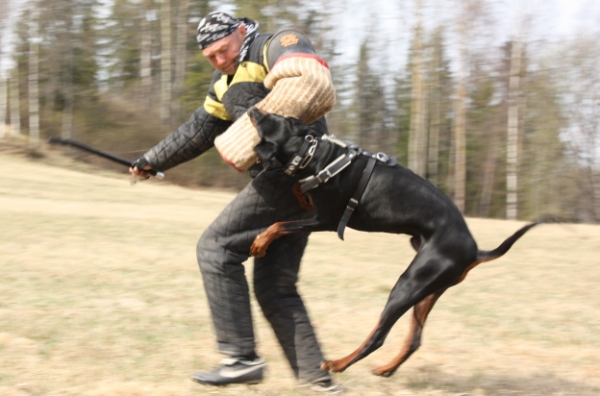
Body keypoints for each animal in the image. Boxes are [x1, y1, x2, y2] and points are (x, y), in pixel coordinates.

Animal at [246, 106, 540, 378]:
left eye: (276, 117)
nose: (254, 108)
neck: (318, 153)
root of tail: (475, 251)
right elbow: (297, 189)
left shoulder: (326, 220)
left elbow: (279, 225)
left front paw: (260, 242)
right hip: (428, 290)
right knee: (415, 339)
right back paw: (386, 369)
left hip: (408, 284)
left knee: (378, 336)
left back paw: (338, 364)